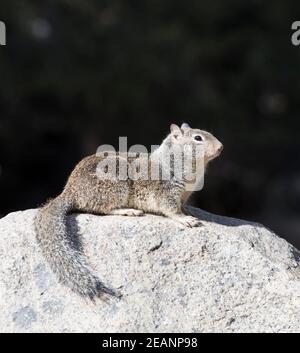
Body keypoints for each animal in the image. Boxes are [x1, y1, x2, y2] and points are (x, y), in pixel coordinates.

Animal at [34, 123, 223, 300]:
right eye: (198, 138)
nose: (221, 147)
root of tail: (69, 191)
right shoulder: (166, 191)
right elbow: (171, 209)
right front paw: (185, 219)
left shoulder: (185, 194)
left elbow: (183, 205)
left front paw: (190, 211)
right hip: (115, 186)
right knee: (104, 208)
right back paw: (128, 211)